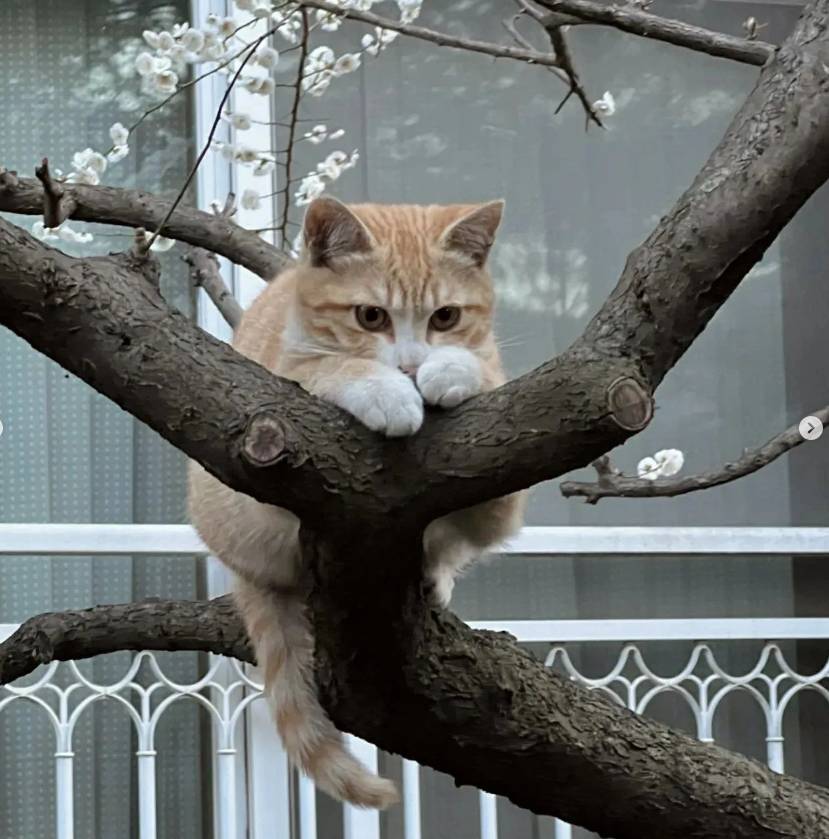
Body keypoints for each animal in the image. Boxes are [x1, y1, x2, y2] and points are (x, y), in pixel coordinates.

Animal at [188, 195, 524, 808]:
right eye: (371, 317)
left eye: (446, 317)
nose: (411, 367)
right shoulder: (276, 387)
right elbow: (327, 366)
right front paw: (384, 390)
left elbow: (485, 369)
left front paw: (451, 370)